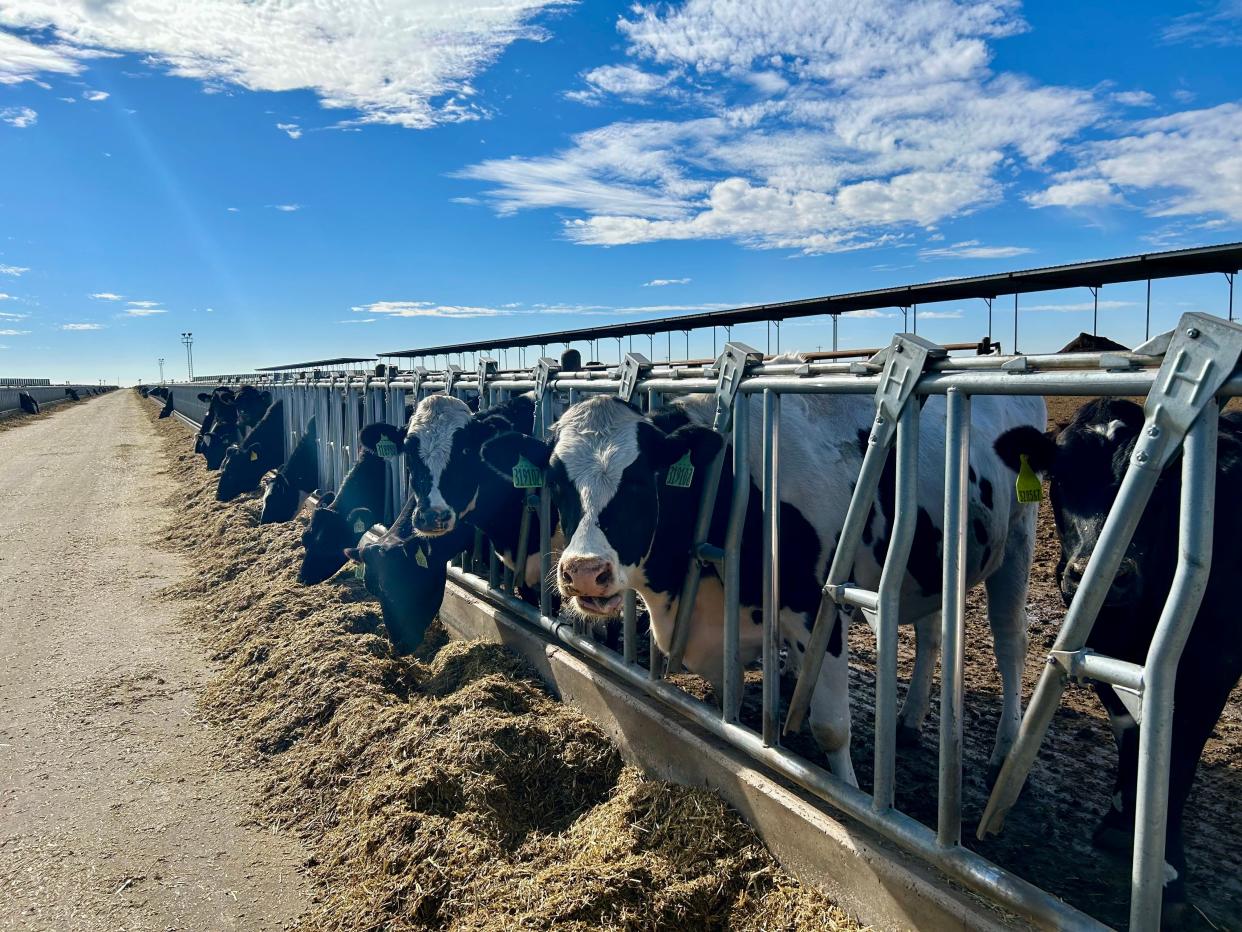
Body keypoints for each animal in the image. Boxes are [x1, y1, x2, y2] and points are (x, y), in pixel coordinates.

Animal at [479, 390, 1043, 785]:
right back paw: (908, 722)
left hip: (1019, 535)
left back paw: (1004, 752)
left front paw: (849, 791)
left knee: (1010, 640)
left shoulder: (818, 607)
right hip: (931, 561)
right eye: (555, 480)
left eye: (640, 480)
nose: (583, 571)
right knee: (930, 633)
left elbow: (831, 727)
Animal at [993, 400, 1242, 919]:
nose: (1098, 573)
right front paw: (1121, 820)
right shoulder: (1097, 643)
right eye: (1061, 476)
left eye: (1163, 482)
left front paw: (1167, 871)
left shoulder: (1214, 665)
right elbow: (1131, 731)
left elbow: (1179, 756)